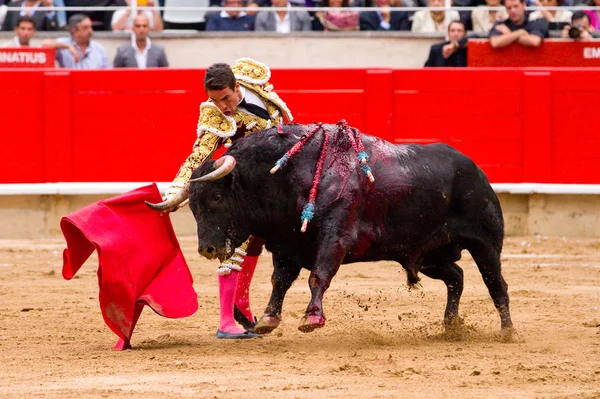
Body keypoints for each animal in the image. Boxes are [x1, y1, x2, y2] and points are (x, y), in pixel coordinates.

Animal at [149, 123, 516, 340]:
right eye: (193, 205)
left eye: (216, 197)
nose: (207, 249)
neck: (287, 174)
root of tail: (474, 168)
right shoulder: (288, 243)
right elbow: (280, 280)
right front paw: (268, 319)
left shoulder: (335, 238)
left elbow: (318, 276)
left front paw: (312, 318)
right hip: (429, 253)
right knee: (456, 276)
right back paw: (450, 326)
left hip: (485, 242)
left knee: (495, 283)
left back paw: (508, 331)